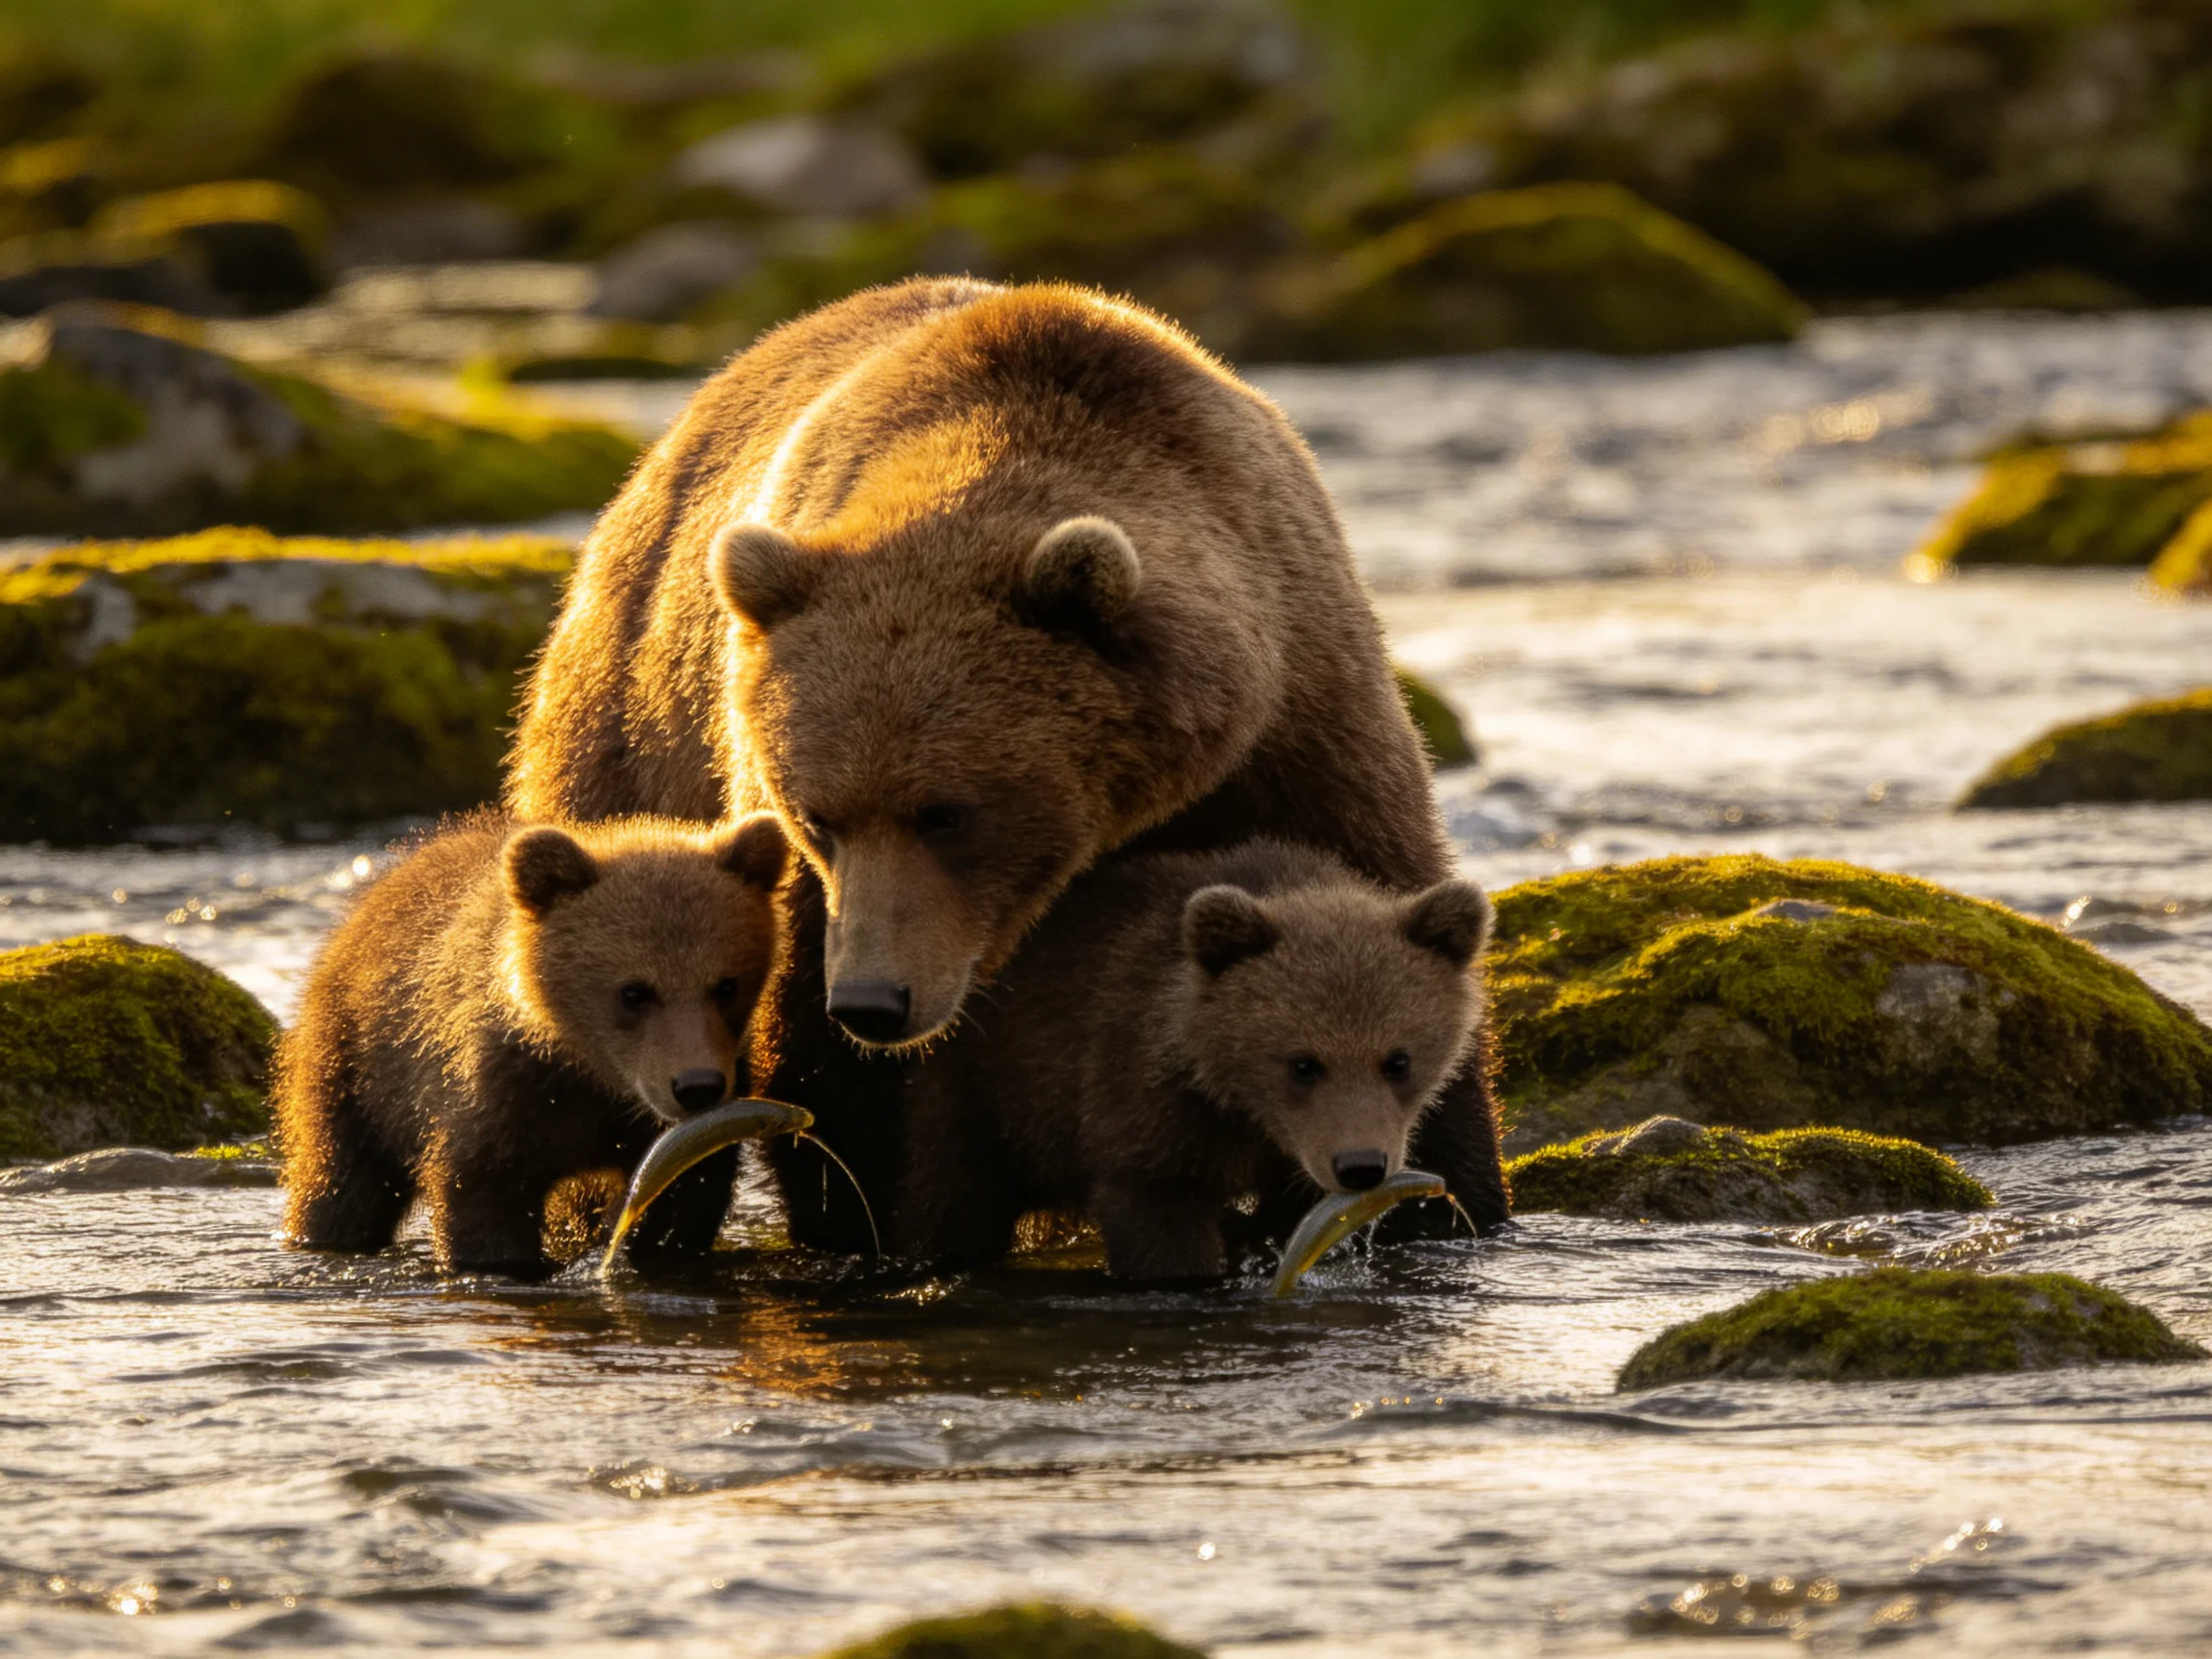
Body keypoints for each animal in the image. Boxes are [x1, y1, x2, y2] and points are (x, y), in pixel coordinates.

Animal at [275, 812, 788, 1278]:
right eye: (634, 991)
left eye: (726, 986)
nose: (697, 1086)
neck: (589, 1070)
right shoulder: (500, 1098)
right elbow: (483, 1196)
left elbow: (682, 1198)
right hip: (357, 1064)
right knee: (341, 1181)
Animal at [893, 840, 1494, 1280]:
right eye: (1302, 1063)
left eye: (1398, 1061)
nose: (1361, 1165)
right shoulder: (1138, 1098)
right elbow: (1157, 1214)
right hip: (984, 1093)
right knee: (955, 1196)